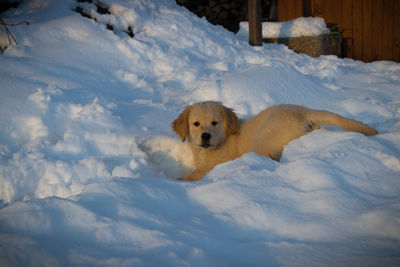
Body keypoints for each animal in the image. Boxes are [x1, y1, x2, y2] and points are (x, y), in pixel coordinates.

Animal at [173, 101, 378, 181]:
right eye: (196, 124)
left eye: (215, 123)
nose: (205, 136)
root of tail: (303, 111)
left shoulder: (217, 162)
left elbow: (197, 174)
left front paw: (179, 181)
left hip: (262, 139)